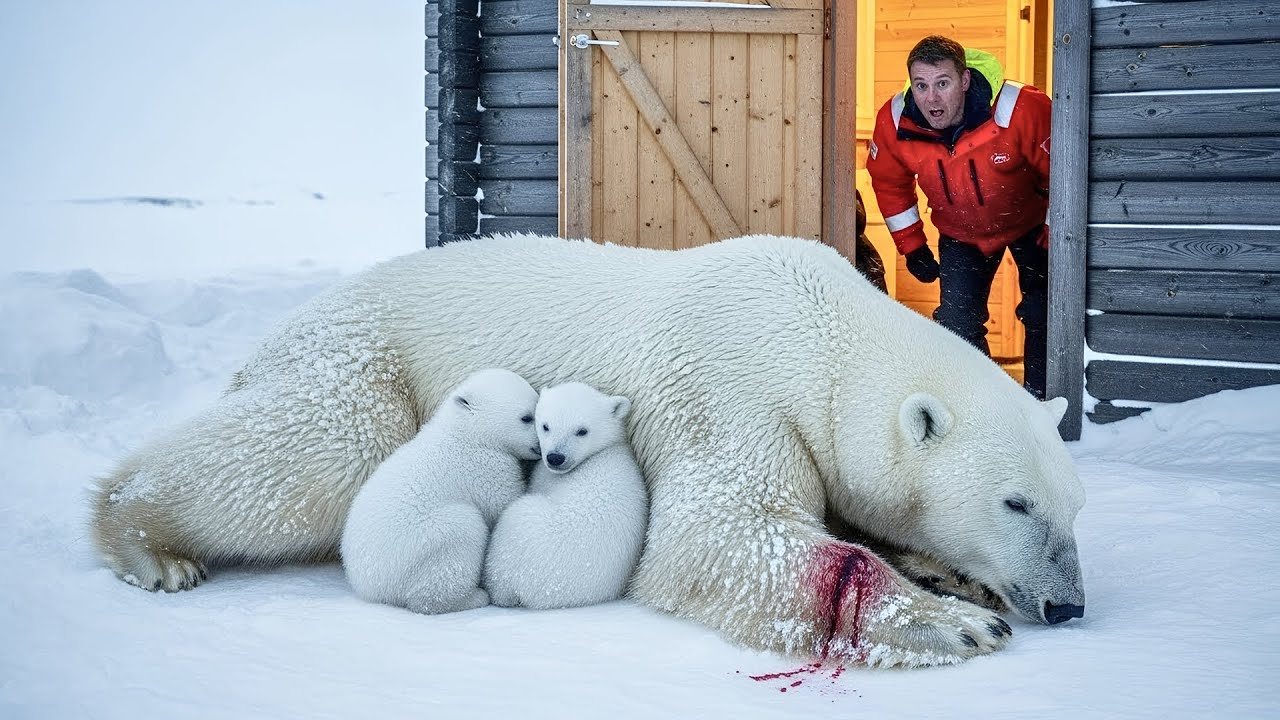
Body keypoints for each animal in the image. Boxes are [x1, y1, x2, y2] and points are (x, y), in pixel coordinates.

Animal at [340, 368, 540, 614]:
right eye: (527, 417)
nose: (544, 447)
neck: (465, 432)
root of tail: (369, 587)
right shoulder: (484, 468)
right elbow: (500, 504)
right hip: (423, 544)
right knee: (461, 534)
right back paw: (472, 598)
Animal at [483, 382, 648, 610]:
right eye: (545, 426)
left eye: (582, 431)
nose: (555, 458)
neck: (604, 450)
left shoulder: (544, 477)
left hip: (521, 534)